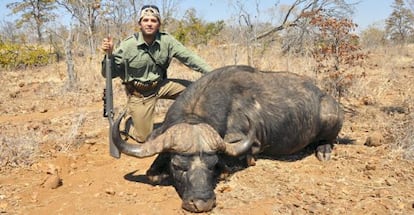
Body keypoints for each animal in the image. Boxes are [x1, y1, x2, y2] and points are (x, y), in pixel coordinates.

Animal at [111, 64, 344, 212]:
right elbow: (152, 174)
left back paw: (323, 150)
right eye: (177, 166)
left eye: (213, 165)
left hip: (330, 119)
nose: (202, 203)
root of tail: (327, 98)